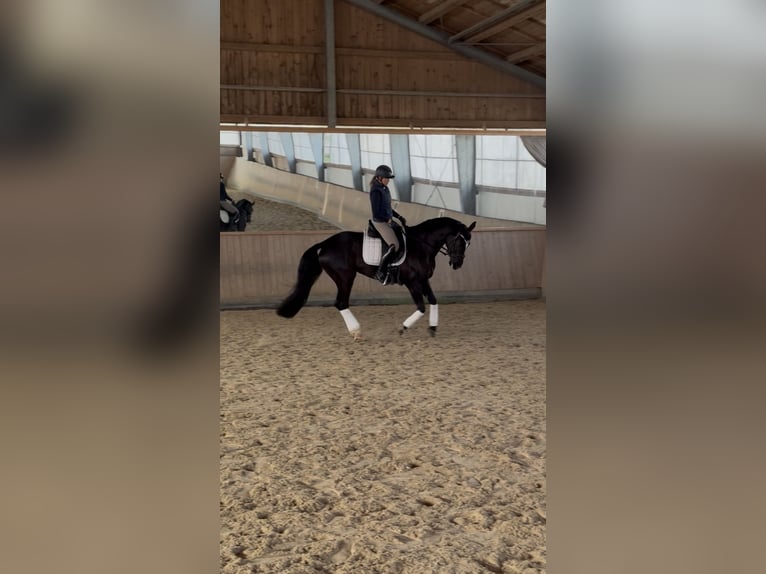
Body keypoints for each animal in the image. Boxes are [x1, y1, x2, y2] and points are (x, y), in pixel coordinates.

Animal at [276, 217, 476, 339]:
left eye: (468, 243)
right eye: (460, 241)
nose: (457, 264)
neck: (421, 245)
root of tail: (324, 244)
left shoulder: (423, 280)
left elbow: (434, 301)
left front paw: (433, 327)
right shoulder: (412, 282)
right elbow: (421, 307)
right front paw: (402, 328)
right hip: (345, 277)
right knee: (341, 303)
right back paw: (356, 332)